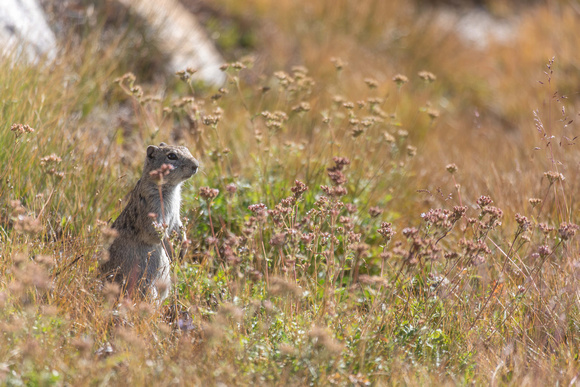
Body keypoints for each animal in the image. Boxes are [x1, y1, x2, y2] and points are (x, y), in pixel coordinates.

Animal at [99, 143, 199, 304]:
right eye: (171, 156)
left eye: (186, 148)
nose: (196, 165)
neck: (169, 188)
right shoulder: (152, 212)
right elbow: (158, 235)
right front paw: (172, 250)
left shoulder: (176, 215)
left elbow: (179, 228)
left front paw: (182, 249)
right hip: (146, 286)